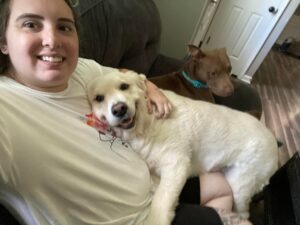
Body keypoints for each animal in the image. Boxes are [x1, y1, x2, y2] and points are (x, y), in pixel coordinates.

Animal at [87, 70, 278, 225]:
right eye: (99, 98)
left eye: (124, 86)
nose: (119, 109)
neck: (147, 123)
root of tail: (274, 141)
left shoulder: (176, 164)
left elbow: (161, 201)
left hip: (240, 185)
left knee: (244, 213)